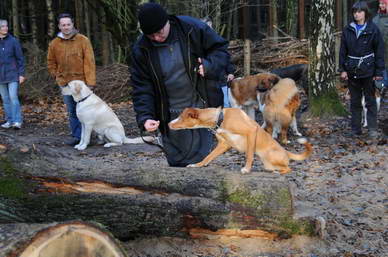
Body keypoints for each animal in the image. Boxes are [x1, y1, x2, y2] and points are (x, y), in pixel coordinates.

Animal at [167, 106, 312, 174]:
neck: (220, 118)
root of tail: (286, 152)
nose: (168, 124)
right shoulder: (223, 145)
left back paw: (278, 172)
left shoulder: (251, 131)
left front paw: (246, 169)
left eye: (181, 118)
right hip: (268, 163)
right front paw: (197, 165)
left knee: (288, 168)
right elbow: (207, 157)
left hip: (270, 156)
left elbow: (249, 155)